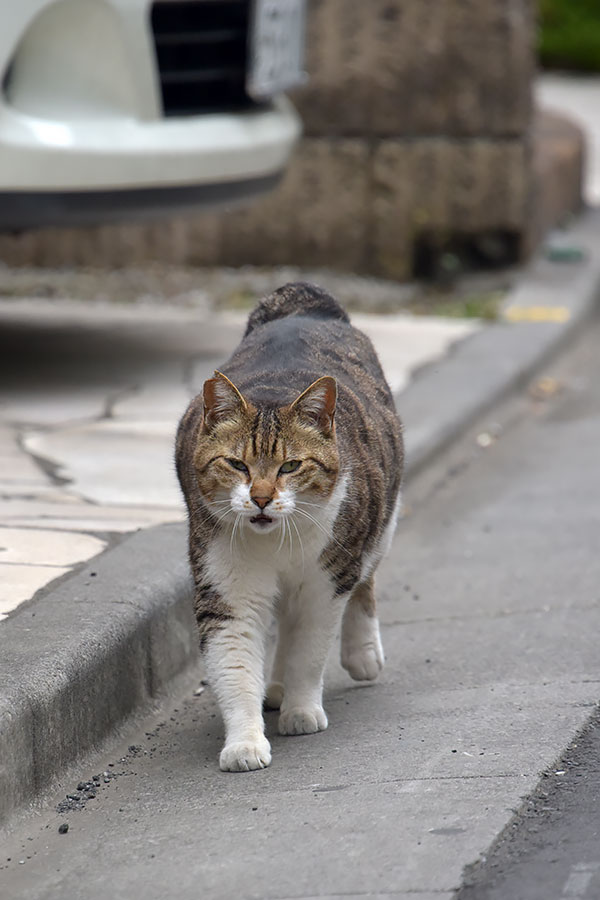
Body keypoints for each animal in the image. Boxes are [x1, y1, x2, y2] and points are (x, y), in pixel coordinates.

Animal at [176, 284, 406, 772]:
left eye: (291, 466)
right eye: (237, 464)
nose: (261, 498)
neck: (274, 544)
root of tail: (303, 302)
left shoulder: (327, 581)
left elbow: (309, 648)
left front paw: (302, 711)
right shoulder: (226, 582)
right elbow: (235, 659)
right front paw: (245, 742)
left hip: (381, 517)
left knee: (365, 578)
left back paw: (361, 654)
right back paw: (276, 686)